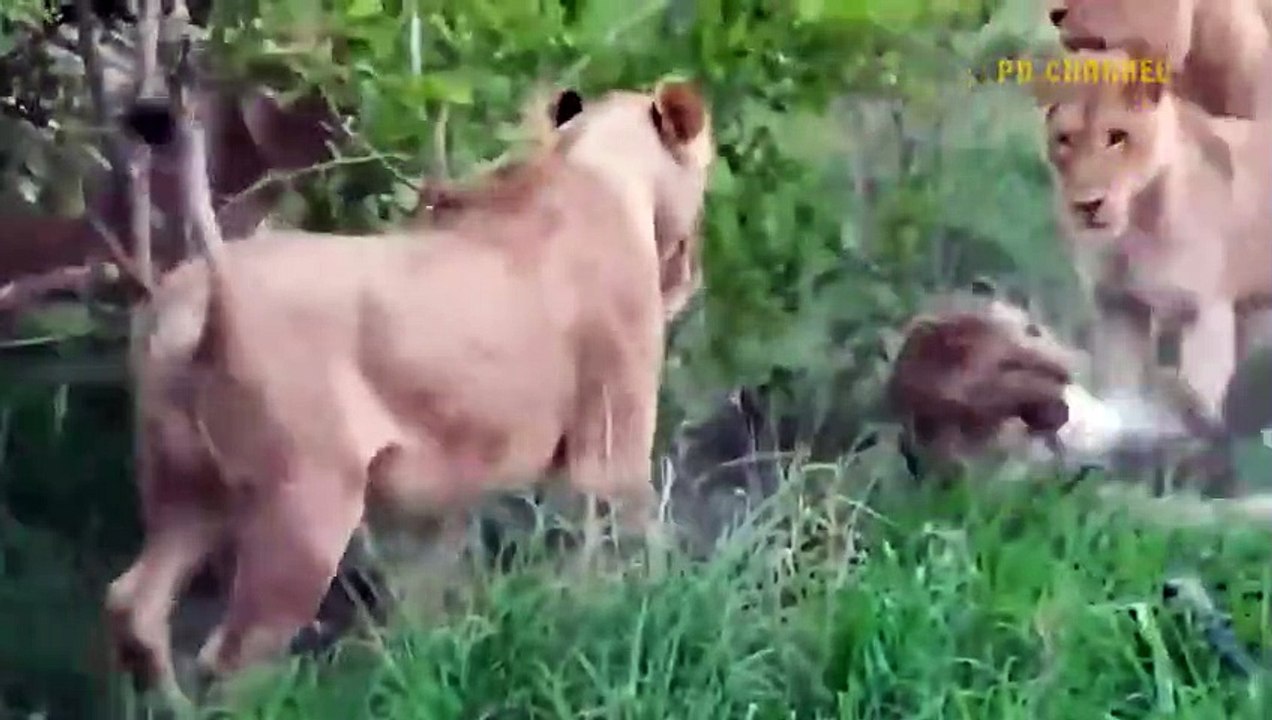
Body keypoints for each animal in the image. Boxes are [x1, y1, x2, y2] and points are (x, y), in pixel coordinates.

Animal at [105, 80, 714, 698]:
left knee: (135, 606)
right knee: (231, 657)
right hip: (304, 510)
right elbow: (633, 549)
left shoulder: (447, 487)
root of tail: (211, 286)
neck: (595, 168)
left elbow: (430, 587)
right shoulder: (613, 448)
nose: (692, 272)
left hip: (189, 491)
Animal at [1034, 48, 1272, 422]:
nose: (1087, 206)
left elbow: (1198, 398)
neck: (1136, 232)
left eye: (1117, 136)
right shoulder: (1118, 306)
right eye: (1064, 140)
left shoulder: (1205, 312)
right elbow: (1121, 391)